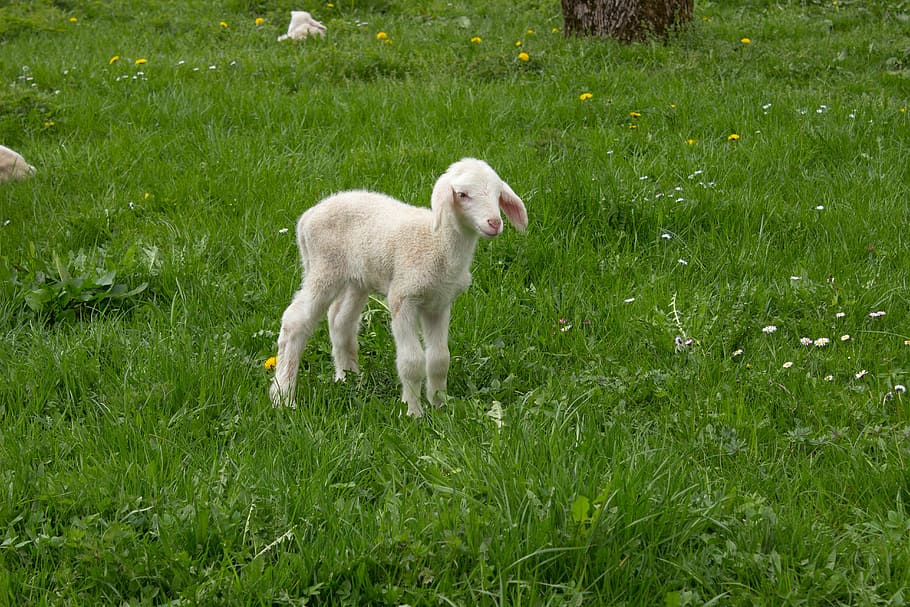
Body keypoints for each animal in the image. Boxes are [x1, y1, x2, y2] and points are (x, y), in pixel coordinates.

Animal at [270, 158, 528, 417]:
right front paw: (413, 412)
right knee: (294, 322)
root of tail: (307, 217)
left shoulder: (439, 304)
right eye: (463, 195)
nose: (494, 223)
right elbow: (412, 361)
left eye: (498, 194)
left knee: (340, 321)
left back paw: (348, 378)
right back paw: (283, 396)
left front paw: (440, 406)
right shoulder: (403, 298)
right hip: (324, 268)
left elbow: (439, 359)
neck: (439, 245)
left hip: (357, 277)